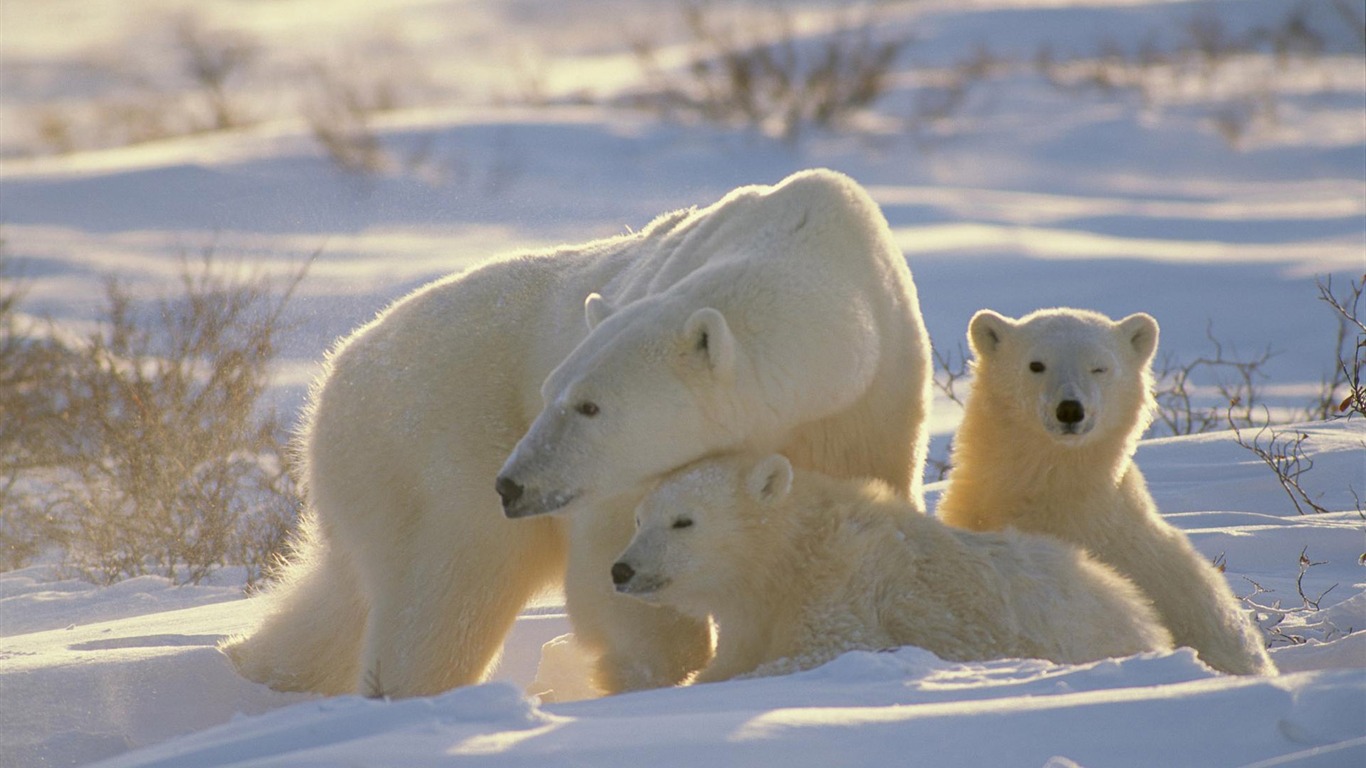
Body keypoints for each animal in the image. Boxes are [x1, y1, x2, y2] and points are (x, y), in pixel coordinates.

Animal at [224, 170, 934, 696]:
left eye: (589, 406)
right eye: (551, 392)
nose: (512, 485)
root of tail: (336, 370)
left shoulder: (872, 405)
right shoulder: (620, 480)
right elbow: (616, 563)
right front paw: (656, 673)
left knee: (341, 596)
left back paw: (252, 667)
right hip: (430, 443)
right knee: (449, 590)